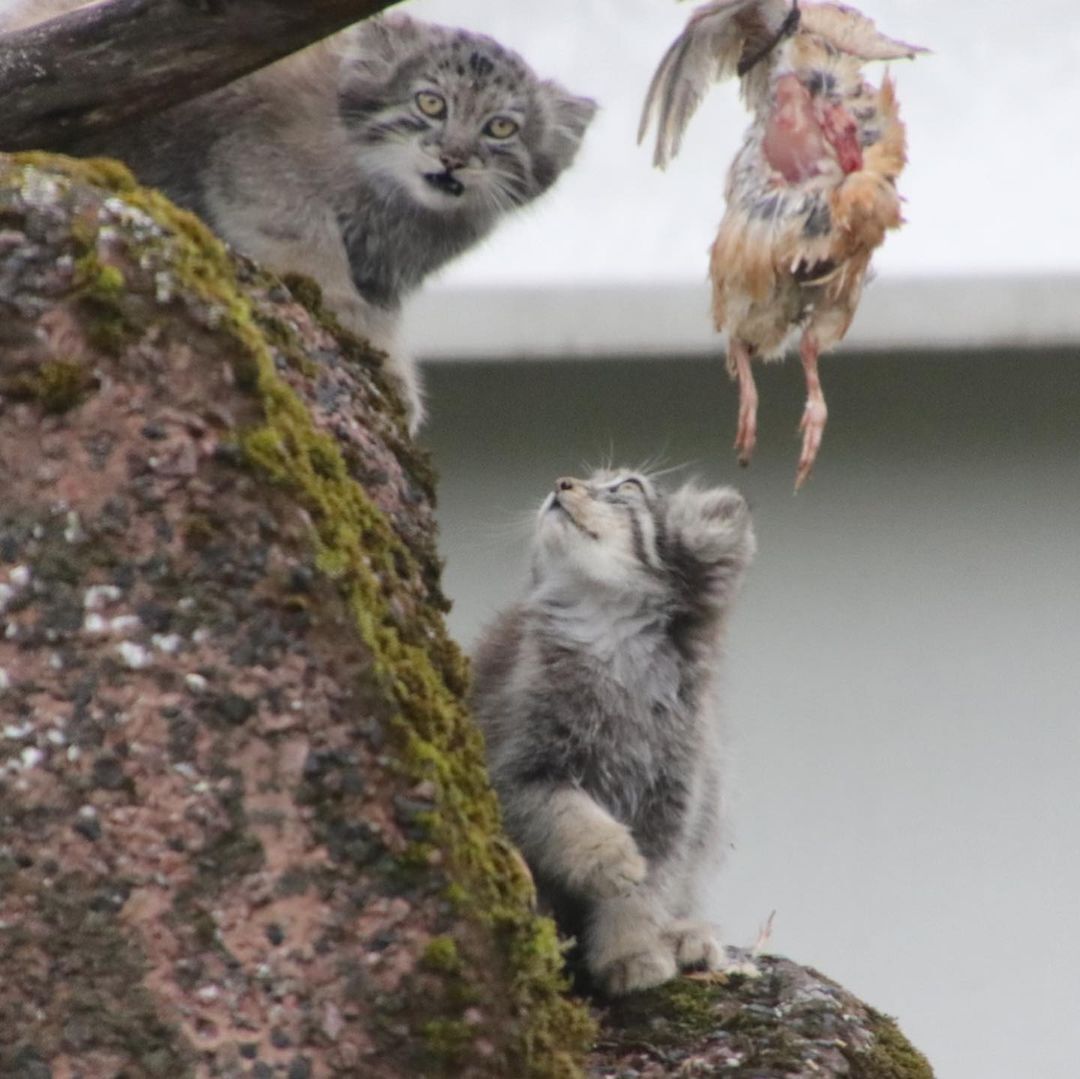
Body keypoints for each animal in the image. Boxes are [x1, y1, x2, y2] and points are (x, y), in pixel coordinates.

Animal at [0, 8, 596, 429]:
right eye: (430, 103)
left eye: (501, 128)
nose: (453, 157)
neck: (385, 194)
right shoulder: (261, 163)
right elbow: (309, 245)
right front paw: (339, 307)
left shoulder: (385, 275)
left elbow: (381, 319)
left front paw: (394, 376)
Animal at [468, 468, 756, 989]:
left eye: (627, 487)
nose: (561, 482)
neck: (613, 643)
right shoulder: (517, 772)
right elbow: (571, 815)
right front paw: (611, 855)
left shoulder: (672, 806)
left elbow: (644, 894)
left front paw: (632, 952)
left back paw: (685, 935)